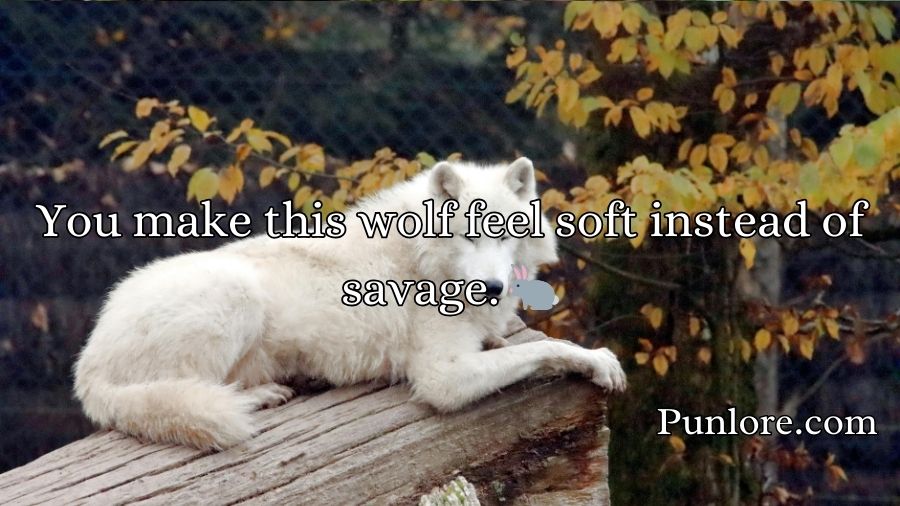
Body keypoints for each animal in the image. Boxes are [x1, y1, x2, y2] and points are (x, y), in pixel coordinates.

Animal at [74, 157, 626, 450]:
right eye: (469, 234)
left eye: (505, 231)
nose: (492, 288)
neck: (421, 258)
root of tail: (87, 365)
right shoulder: (442, 377)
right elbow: (545, 348)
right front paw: (598, 360)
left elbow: (516, 342)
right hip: (235, 297)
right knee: (194, 391)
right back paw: (260, 397)